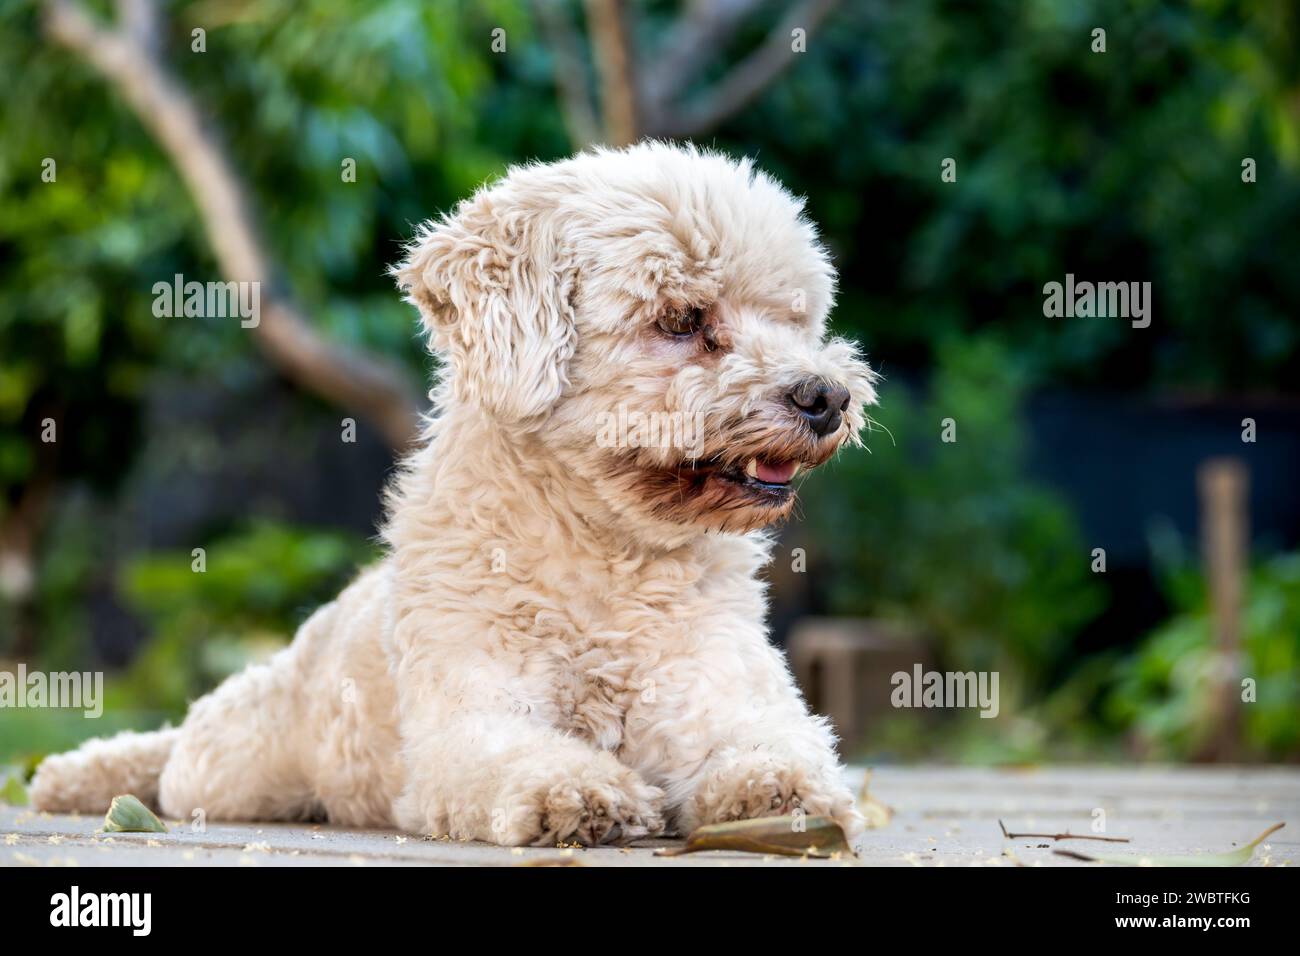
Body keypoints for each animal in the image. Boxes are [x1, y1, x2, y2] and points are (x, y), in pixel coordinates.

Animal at [30, 140, 878, 842]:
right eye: (680, 318)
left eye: (795, 319)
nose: (825, 395)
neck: (601, 548)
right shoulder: (470, 722)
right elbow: (517, 757)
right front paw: (575, 791)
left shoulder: (721, 692)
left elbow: (774, 743)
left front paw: (775, 786)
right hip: (221, 768)